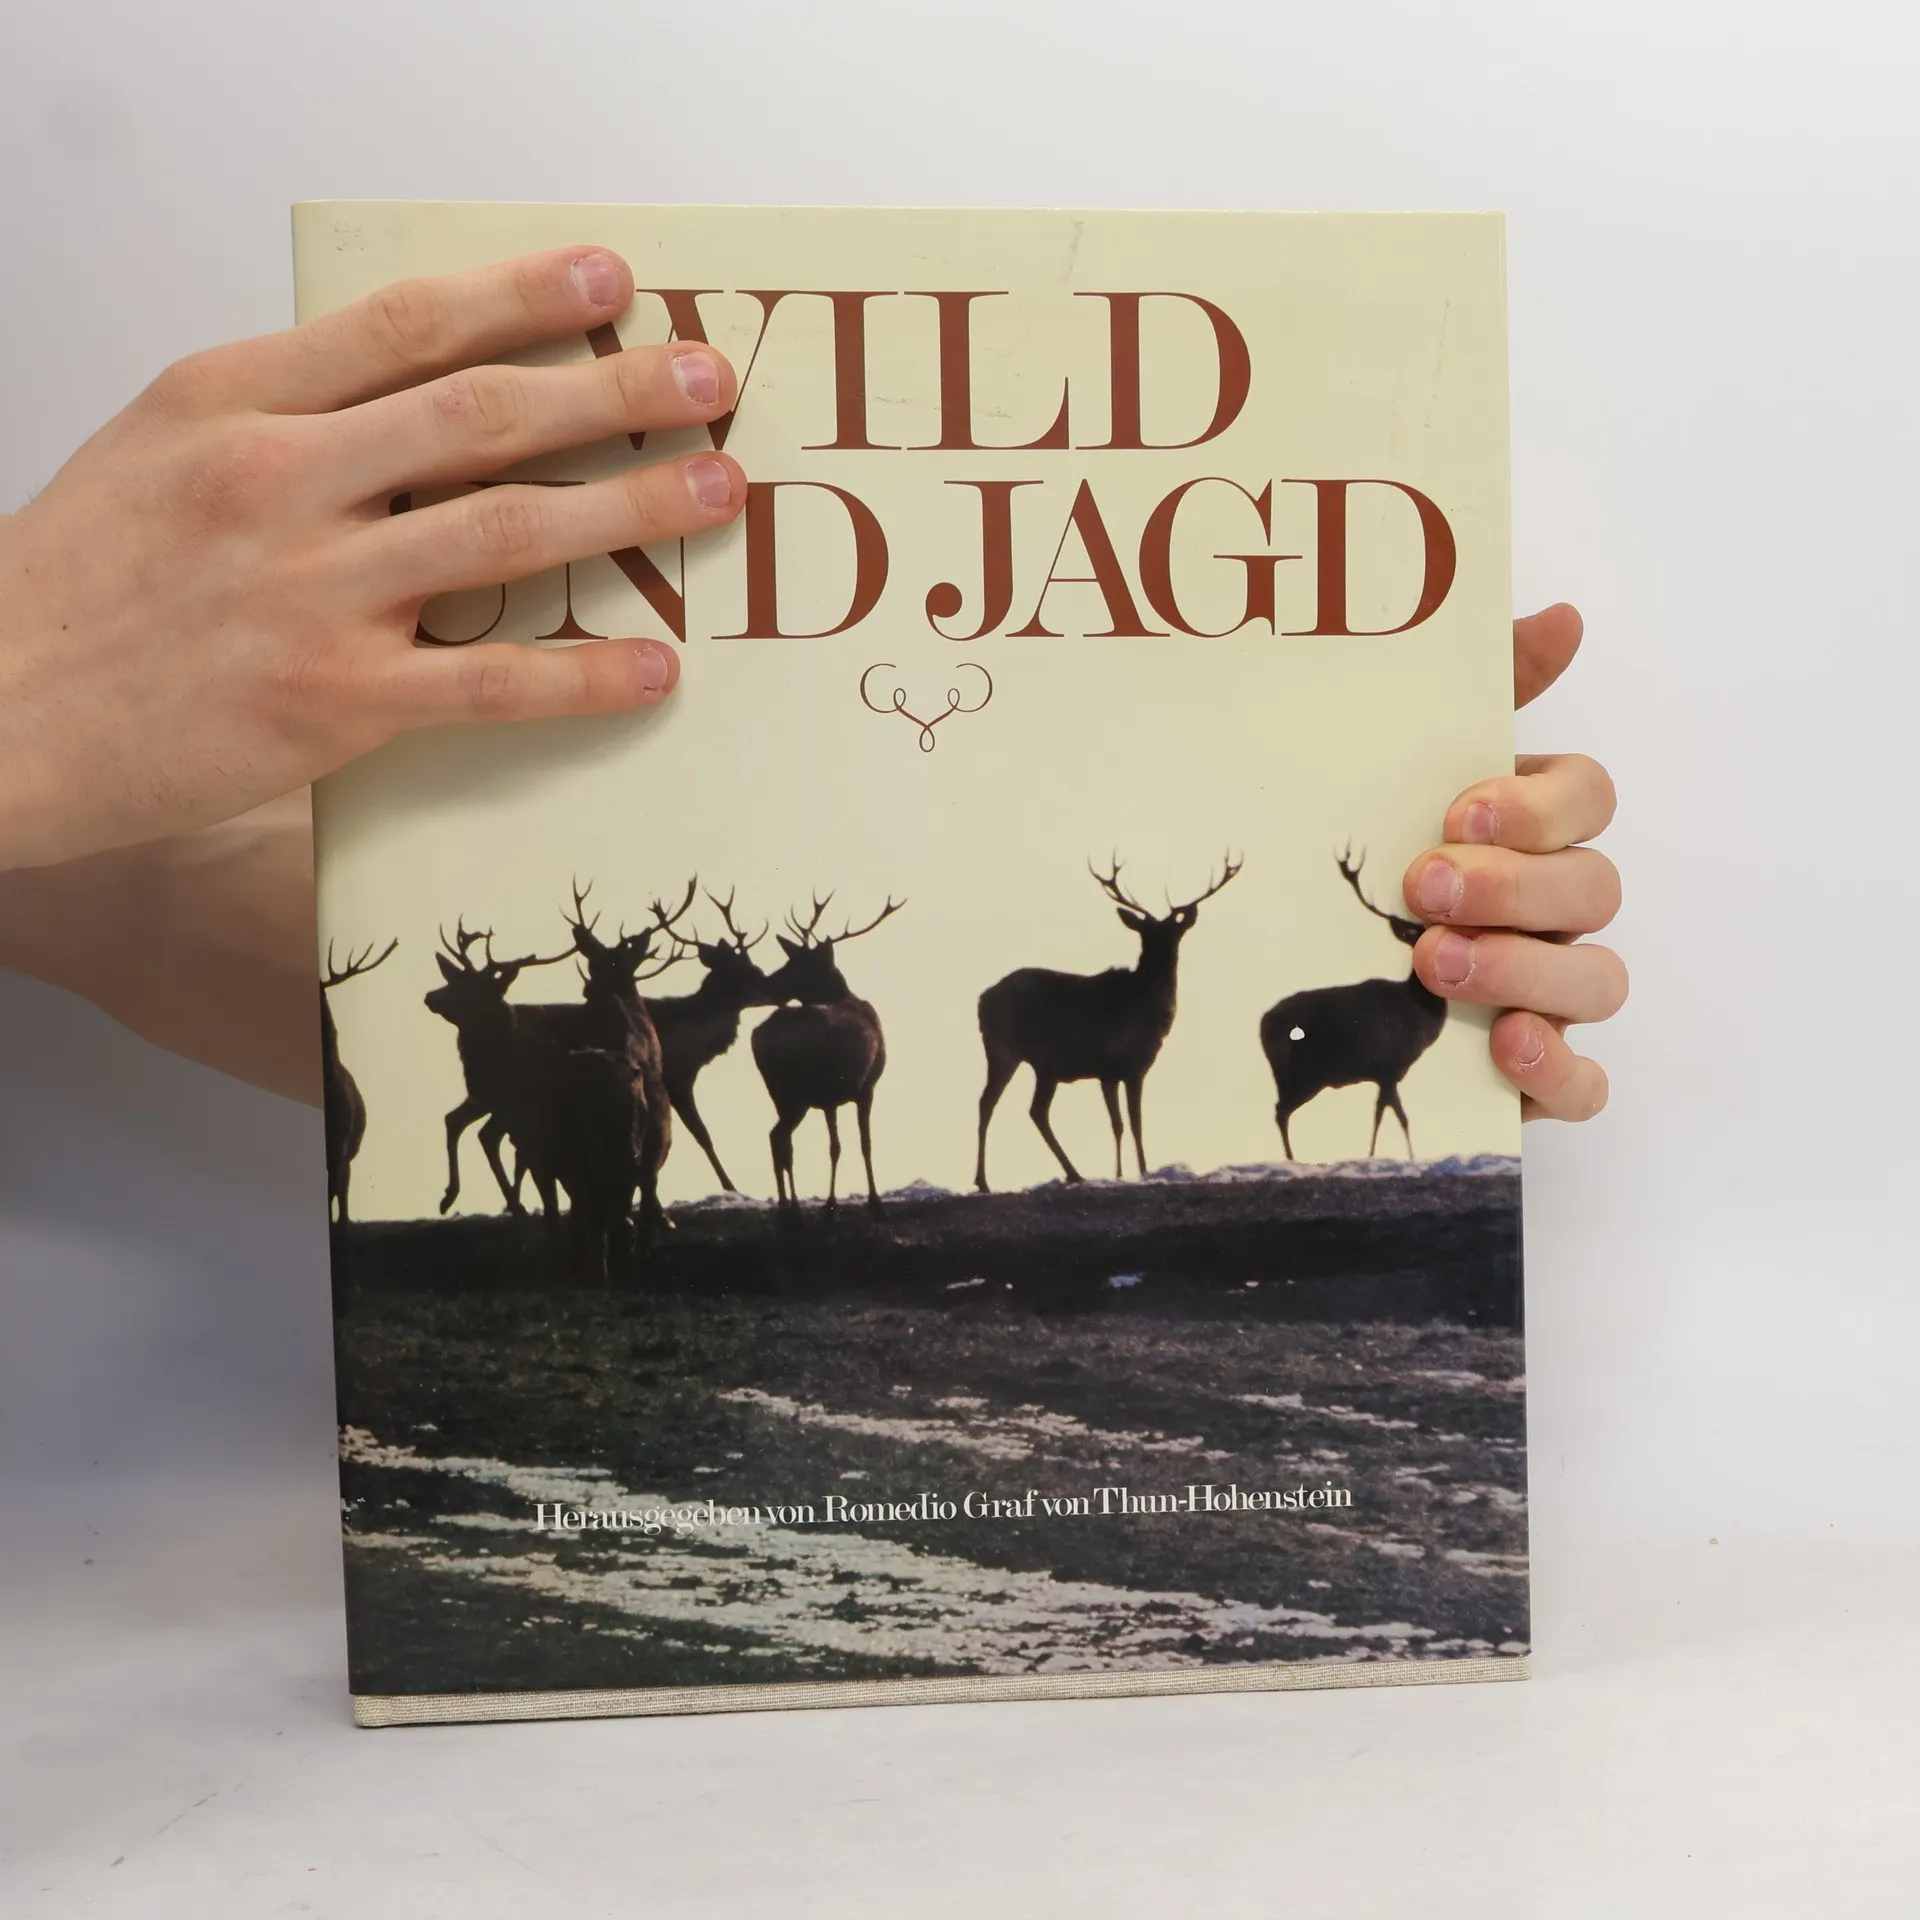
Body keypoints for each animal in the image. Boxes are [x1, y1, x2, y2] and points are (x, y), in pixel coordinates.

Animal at [641, 887, 780, 1194]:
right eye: (750, 972)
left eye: (755, 966)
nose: (777, 988)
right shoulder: (676, 1078)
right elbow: (701, 1134)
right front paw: (731, 1187)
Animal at [752, 892, 904, 1212]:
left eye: (796, 965)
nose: (764, 983)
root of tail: (759, 1037)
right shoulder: (867, 1085)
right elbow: (865, 1143)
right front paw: (875, 1203)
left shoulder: (830, 1100)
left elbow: (835, 1146)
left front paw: (831, 1205)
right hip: (797, 1091)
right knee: (779, 1137)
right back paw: (791, 1211)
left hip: (779, 1093)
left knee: (780, 1141)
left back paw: (787, 1209)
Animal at [974, 854, 1241, 1192]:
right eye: (1146, 933)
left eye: (1172, 931)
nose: (1163, 954)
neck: (1146, 1010)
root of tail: (982, 1000)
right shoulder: (1117, 1066)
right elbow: (1126, 1123)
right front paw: (1131, 1173)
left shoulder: (1125, 1070)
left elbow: (1129, 1123)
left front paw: (1134, 1172)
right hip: (1020, 1052)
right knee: (1011, 1106)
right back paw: (1014, 1178)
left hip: (1027, 1060)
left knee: (1011, 1106)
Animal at [1259, 847, 1447, 1160]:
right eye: (1414, 936)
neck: (1420, 1021)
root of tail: (1263, 1024)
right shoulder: (1390, 1065)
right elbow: (1395, 1116)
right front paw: (1397, 1157)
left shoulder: (1386, 1074)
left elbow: (1387, 1114)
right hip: (1303, 1072)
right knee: (1280, 1110)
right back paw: (1293, 1159)